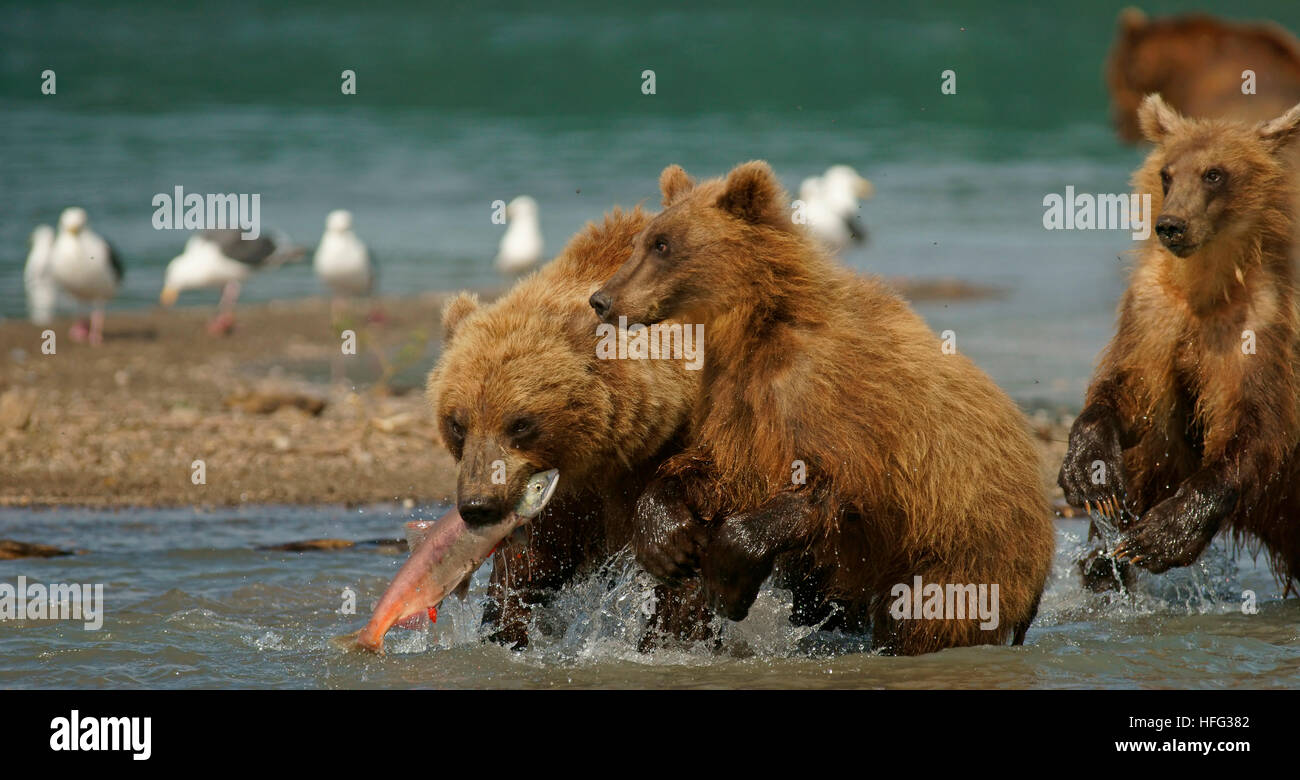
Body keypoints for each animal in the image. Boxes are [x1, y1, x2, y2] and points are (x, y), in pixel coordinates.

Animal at [426, 204, 712, 650]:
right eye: (458, 423)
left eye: (520, 423)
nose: (478, 505)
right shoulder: (561, 497)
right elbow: (525, 571)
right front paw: (504, 632)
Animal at [590, 161, 1055, 655]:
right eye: (642, 242)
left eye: (663, 244)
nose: (601, 299)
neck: (757, 328)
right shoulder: (735, 398)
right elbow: (717, 470)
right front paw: (666, 541)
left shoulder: (833, 398)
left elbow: (838, 482)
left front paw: (728, 574)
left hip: (965, 548)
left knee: (923, 614)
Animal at [1060, 94, 1300, 590]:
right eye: (1167, 173)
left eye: (1214, 173)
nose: (1171, 224)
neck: (1206, 290)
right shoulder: (1154, 314)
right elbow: (1132, 391)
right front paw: (1090, 473)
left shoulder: (1259, 325)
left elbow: (1255, 425)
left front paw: (1161, 536)